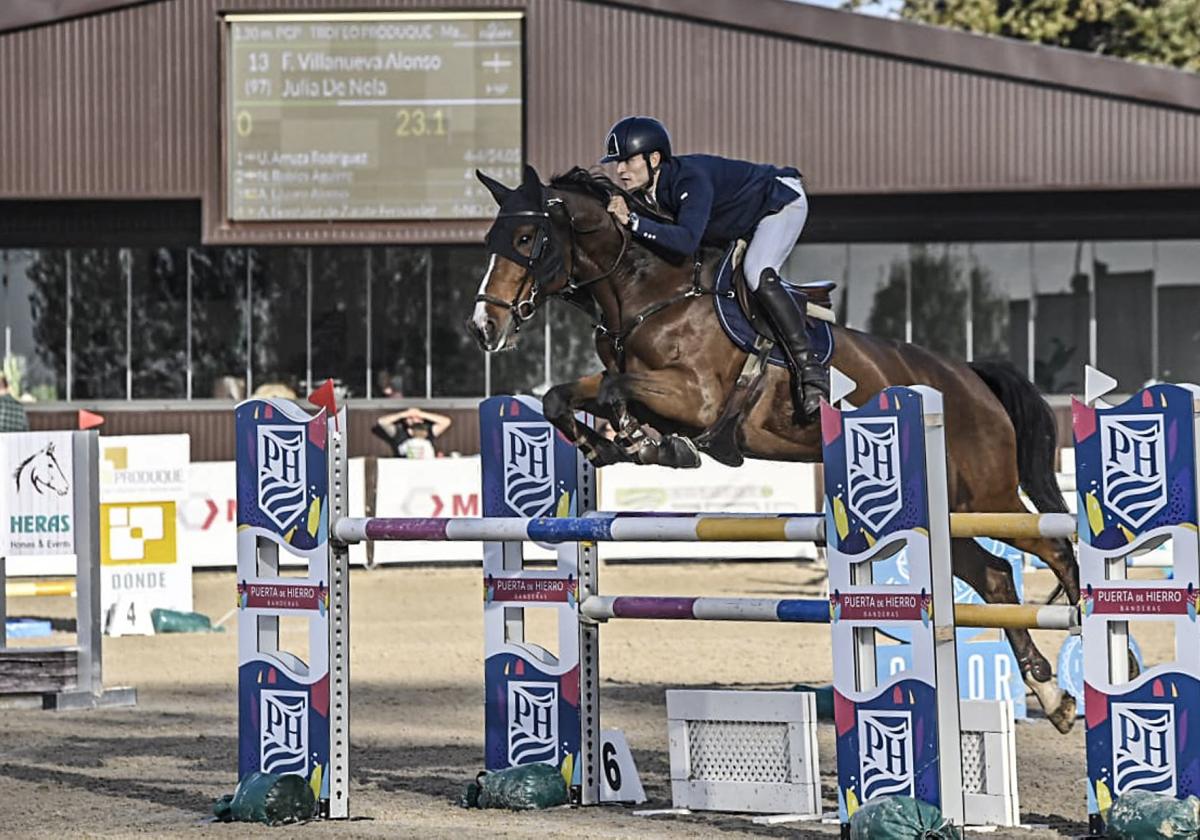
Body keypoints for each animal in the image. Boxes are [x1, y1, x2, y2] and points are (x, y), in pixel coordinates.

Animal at [465, 162, 1080, 729]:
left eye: (527, 238)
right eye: (492, 240)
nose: (482, 328)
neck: (648, 292)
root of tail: (970, 377)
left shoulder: (697, 397)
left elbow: (620, 392)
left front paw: (644, 441)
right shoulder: (622, 379)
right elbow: (560, 397)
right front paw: (615, 445)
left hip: (988, 497)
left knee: (1055, 547)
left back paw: (1088, 644)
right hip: (948, 511)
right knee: (995, 575)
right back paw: (1053, 695)